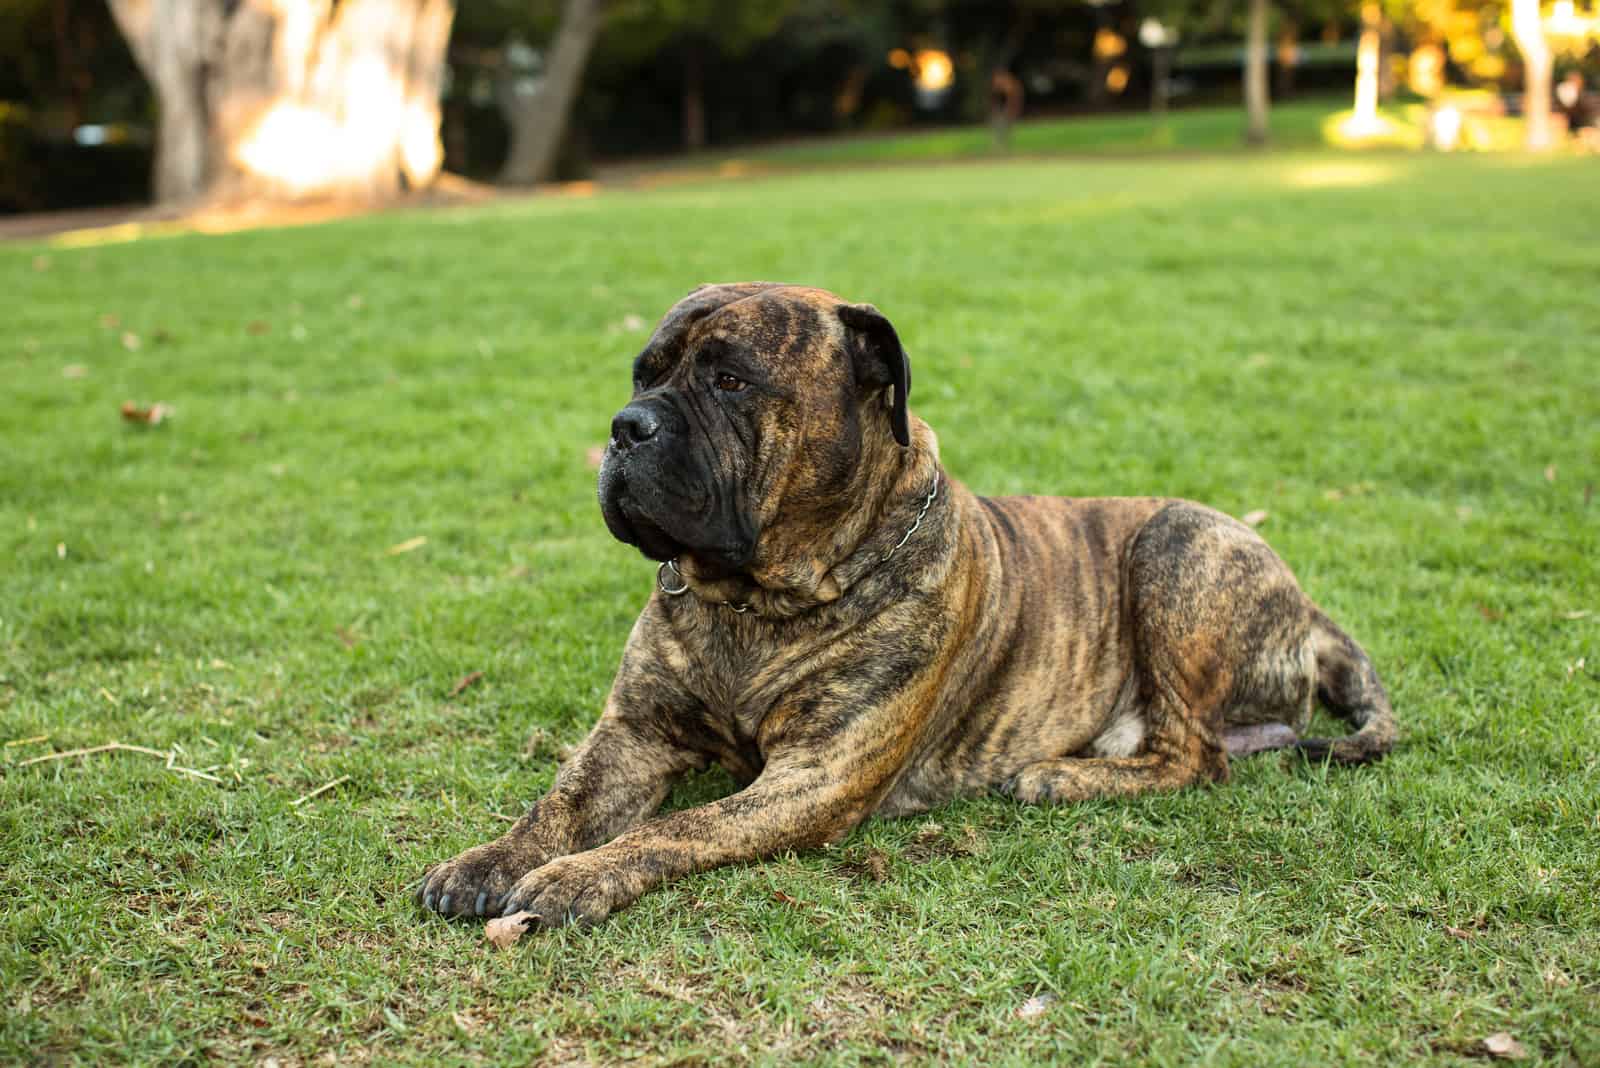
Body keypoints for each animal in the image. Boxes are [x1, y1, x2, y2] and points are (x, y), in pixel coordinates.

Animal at [416, 281, 1401, 927]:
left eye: (731, 380)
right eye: (641, 375)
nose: (627, 428)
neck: (757, 599)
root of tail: (1308, 607)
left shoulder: (816, 775)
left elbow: (680, 827)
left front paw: (575, 879)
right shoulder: (633, 733)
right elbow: (558, 801)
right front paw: (489, 859)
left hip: (1178, 544)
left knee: (1197, 757)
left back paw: (1060, 775)